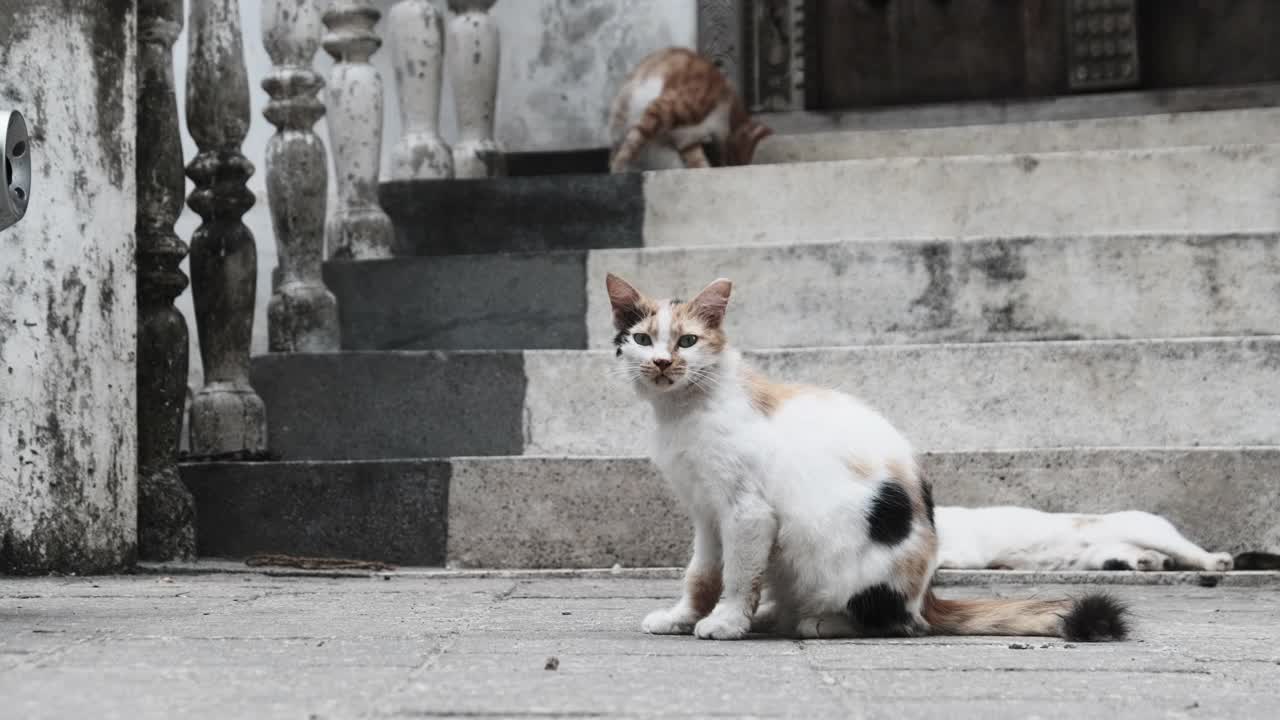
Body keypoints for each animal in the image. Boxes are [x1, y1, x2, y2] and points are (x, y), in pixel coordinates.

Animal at [604, 272, 1126, 638]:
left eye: (688, 341)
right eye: (642, 339)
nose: (663, 362)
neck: (684, 411)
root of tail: (925, 595)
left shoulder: (746, 513)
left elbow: (738, 575)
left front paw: (728, 621)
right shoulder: (707, 512)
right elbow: (702, 574)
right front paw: (683, 616)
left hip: (832, 553)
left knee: (900, 624)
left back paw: (816, 621)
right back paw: (775, 614)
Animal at [606, 47, 768, 172]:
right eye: (736, 159)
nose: (733, 165)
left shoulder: (687, 140)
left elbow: (697, 160)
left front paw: (704, 169)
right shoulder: (663, 107)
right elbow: (633, 142)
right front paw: (619, 168)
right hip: (624, 115)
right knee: (620, 147)